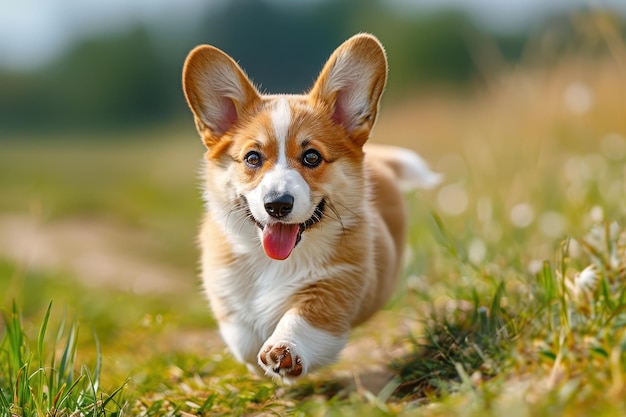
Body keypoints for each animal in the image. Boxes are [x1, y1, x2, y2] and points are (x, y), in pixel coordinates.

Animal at [180, 33, 438, 384]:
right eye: (252, 158)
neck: (274, 261)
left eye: (312, 157)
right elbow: (244, 339)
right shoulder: (226, 290)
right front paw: (261, 362)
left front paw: (283, 351)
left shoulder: (334, 283)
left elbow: (302, 319)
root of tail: (380, 160)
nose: (277, 205)